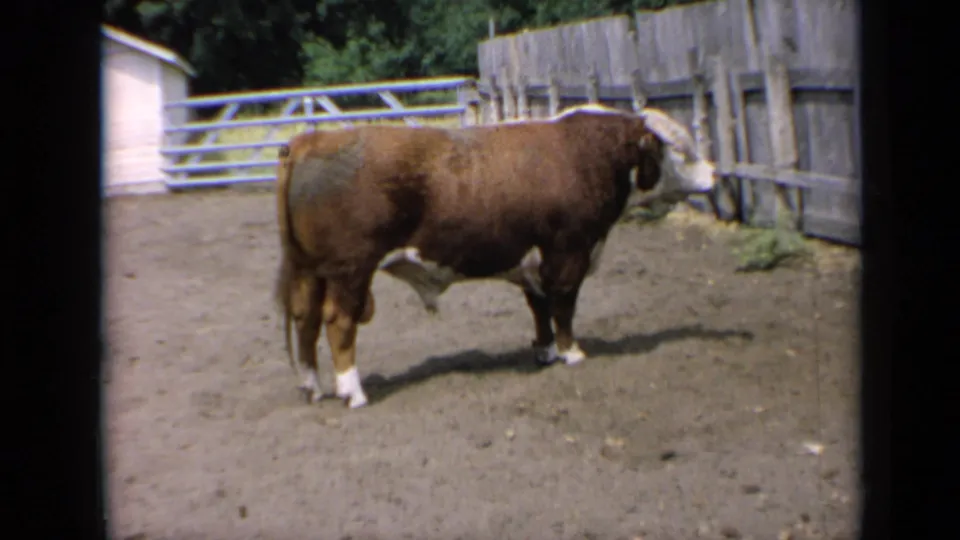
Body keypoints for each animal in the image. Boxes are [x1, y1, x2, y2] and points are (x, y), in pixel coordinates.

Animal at [273, 103, 717, 409]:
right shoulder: (569, 254)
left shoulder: (534, 262)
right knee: (338, 322)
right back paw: (352, 390)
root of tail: (310, 140)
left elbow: (540, 308)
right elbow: (564, 307)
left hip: (310, 271)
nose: (716, 173)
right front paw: (572, 353)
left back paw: (312, 386)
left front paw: (545, 352)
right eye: (680, 149)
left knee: (306, 321)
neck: (585, 155)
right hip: (350, 270)